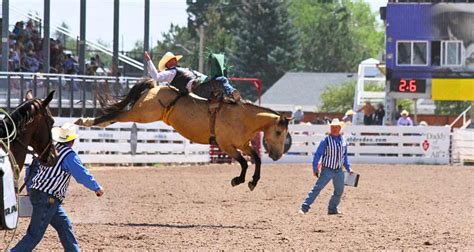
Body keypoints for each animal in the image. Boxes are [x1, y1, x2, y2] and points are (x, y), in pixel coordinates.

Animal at [75, 79, 288, 191]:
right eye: (278, 131)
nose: (278, 156)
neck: (242, 117)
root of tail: (155, 86)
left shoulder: (243, 145)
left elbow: (256, 159)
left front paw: (252, 182)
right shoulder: (226, 145)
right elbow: (244, 162)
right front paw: (238, 180)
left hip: (142, 113)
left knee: (115, 116)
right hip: (142, 113)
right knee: (117, 114)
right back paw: (85, 121)